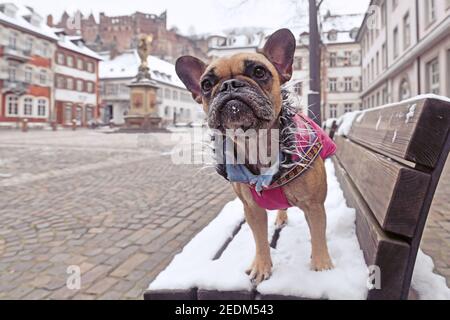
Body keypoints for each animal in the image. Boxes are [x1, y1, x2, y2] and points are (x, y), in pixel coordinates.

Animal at [175, 28, 334, 284]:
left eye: (259, 72)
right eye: (206, 84)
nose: (230, 85)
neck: (255, 142)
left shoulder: (314, 206)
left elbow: (318, 236)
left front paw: (321, 267)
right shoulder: (252, 209)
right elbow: (260, 240)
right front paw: (262, 267)